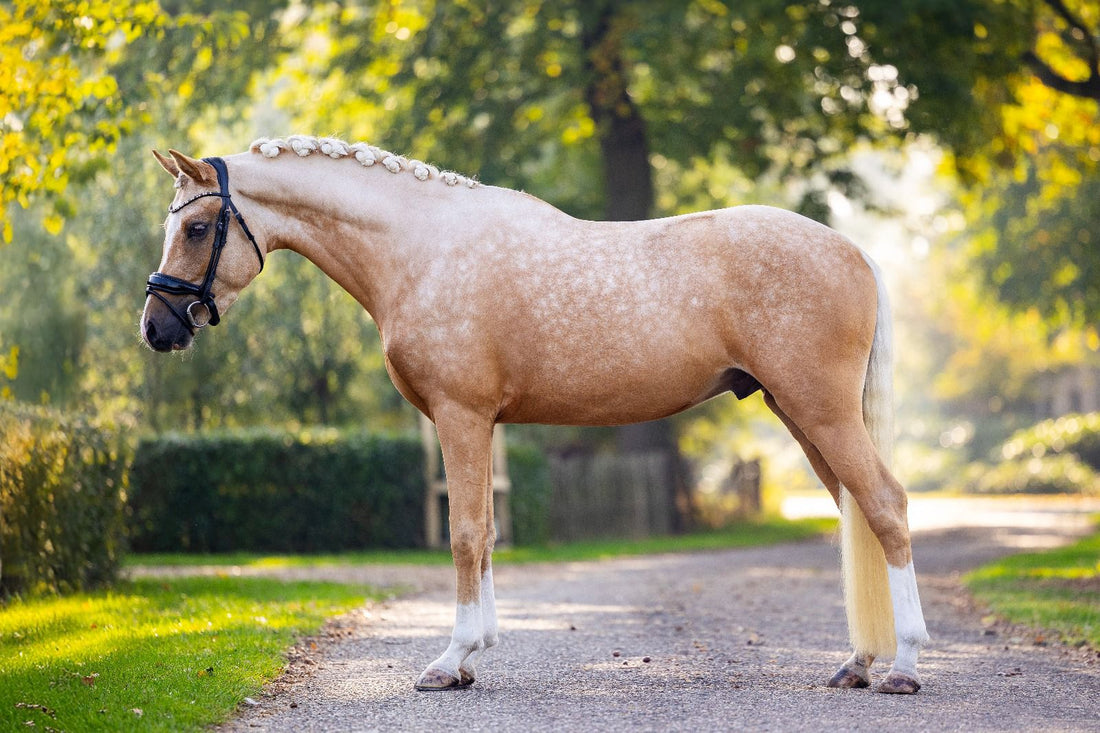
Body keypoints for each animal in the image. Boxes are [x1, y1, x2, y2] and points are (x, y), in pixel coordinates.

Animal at [141, 135, 929, 695]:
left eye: (200, 227)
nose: (158, 327)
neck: (420, 247)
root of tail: (853, 250)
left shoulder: (460, 415)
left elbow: (463, 535)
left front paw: (449, 659)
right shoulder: (481, 423)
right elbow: (487, 533)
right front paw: (472, 656)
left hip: (819, 410)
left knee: (886, 505)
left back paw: (905, 666)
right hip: (802, 413)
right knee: (858, 511)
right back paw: (859, 662)